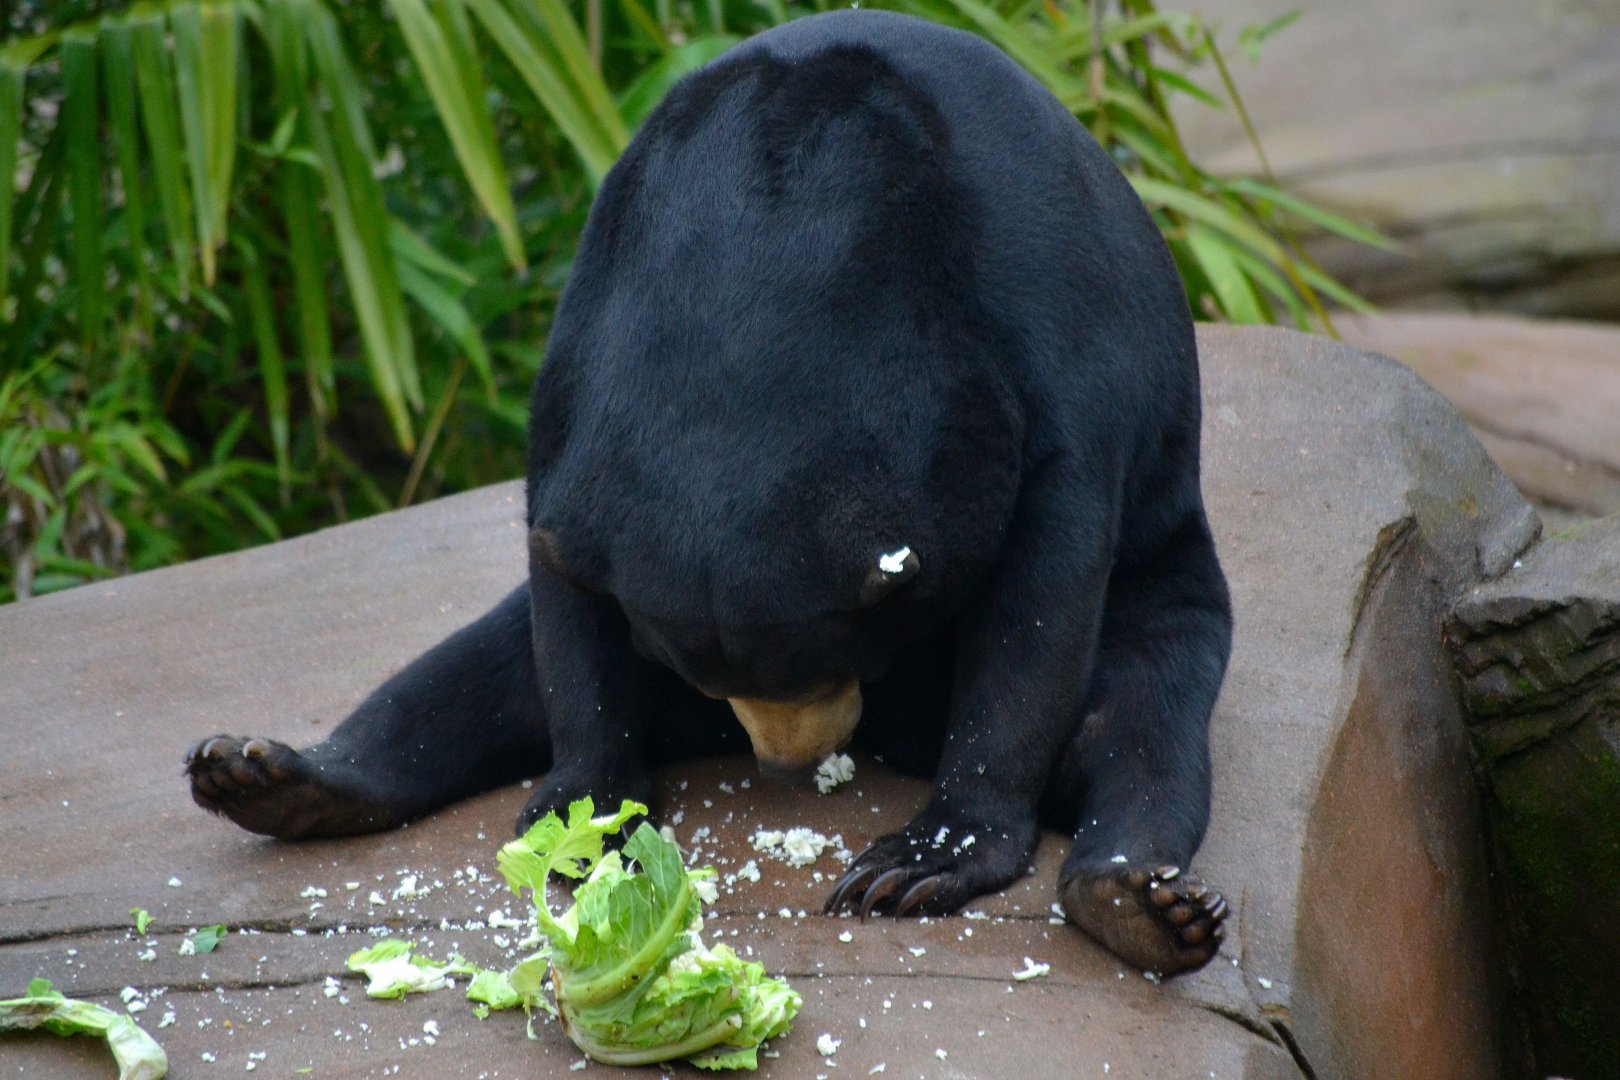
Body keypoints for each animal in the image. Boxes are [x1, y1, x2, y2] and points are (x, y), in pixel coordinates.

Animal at [186, 8, 1232, 977]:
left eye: (840, 648)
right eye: (712, 677)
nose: (791, 758)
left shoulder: (1045, 343)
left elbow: (1040, 601)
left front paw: (922, 860)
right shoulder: (586, 344)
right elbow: (561, 591)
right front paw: (584, 815)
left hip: (1167, 596)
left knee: (1139, 728)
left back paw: (1138, 902)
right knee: (467, 675)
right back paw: (266, 777)